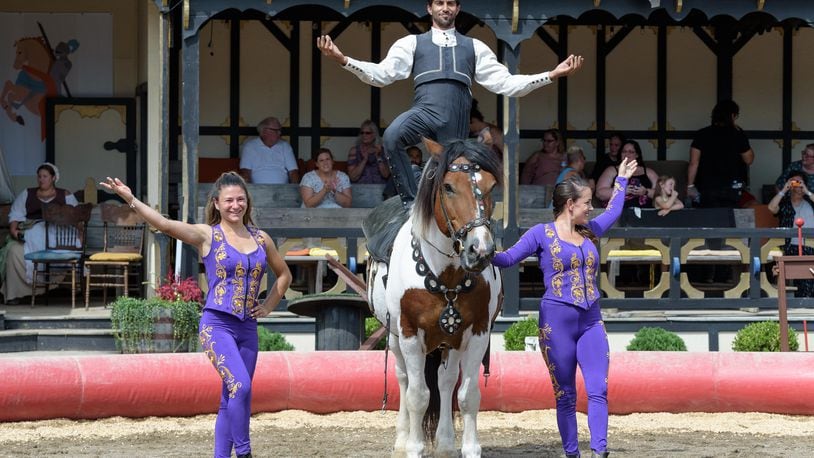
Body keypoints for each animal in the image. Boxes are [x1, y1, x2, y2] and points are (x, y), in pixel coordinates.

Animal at [364, 139, 504, 458]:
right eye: (449, 187)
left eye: (491, 186)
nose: (480, 250)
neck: (447, 275)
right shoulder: (410, 333)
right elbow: (417, 395)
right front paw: (414, 447)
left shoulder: (477, 333)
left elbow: (467, 395)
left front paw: (469, 448)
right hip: (396, 338)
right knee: (404, 380)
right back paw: (403, 439)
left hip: (449, 341)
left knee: (446, 381)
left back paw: (446, 441)